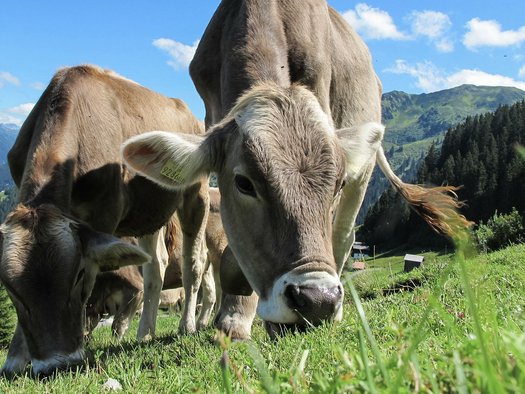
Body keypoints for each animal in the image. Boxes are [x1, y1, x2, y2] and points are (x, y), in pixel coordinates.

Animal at [0, 64, 209, 376]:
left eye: (78, 275)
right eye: (10, 289)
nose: (55, 364)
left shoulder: (104, 216)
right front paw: (15, 358)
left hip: (196, 194)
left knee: (192, 263)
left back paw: (187, 325)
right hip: (148, 211)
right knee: (156, 266)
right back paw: (145, 333)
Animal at [123, 0, 466, 340]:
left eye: (337, 184)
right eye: (244, 183)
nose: (318, 301)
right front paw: (235, 318)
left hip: (364, 170)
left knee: (344, 235)